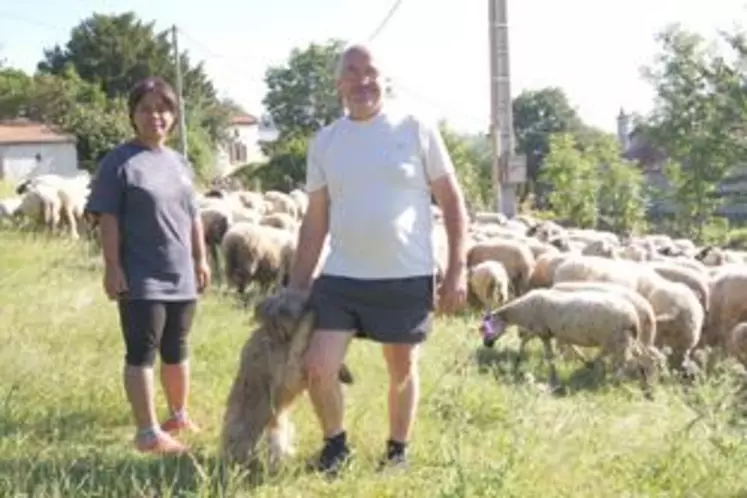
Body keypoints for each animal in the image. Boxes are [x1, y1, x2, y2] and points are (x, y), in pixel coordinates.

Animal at [221, 288, 356, 470]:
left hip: (278, 433)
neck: (279, 337)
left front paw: (344, 371)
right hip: (248, 434)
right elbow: (301, 339)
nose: (311, 301)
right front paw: (309, 317)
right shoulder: (289, 372)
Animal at [482, 286, 656, 394]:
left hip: (618, 341)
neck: (520, 310)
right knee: (640, 360)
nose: (486, 344)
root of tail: (633, 318)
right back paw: (646, 389)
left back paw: (615, 383)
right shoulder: (549, 331)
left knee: (627, 363)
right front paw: (517, 361)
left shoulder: (542, 331)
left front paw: (553, 377)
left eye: (483, 328)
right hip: (627, 341)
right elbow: (531, 342)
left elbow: (549, 356)